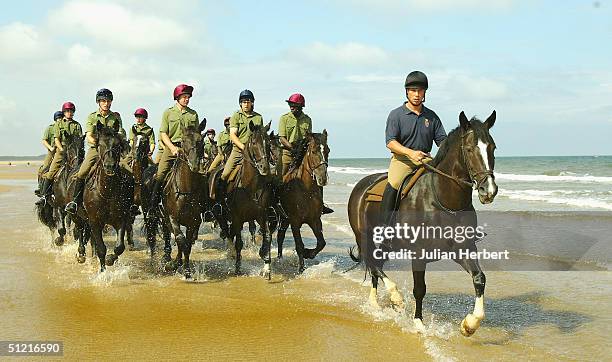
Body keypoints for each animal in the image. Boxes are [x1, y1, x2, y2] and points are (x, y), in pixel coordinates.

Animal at [79, 124, 132, 272]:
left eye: (117, 145)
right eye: (100, 145)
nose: (109, 166)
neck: (107, 192)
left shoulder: (121, 219)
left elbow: (119, 247)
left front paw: (110, 259)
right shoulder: (95, 221)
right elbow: (101, 249)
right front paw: (102, 272)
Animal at [276, 132, 330, 272]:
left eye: (327, 150)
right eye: (313, 151)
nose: (322, 178)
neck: (306, 189)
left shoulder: (315, 220)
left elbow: (321, 243)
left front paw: (309, 253)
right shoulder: (295, 222)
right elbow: (299, 245)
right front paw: (301, 268)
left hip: (286, 220)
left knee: (280, 235)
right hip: (283, 218)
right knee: (279, 236)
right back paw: (279, 259)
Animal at [350, 111, 498, 336]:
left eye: (492, 147)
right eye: (469, 149)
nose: (488, 191)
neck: (443, 200)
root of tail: (361, 186)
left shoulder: (462, 249)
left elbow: (479, 278)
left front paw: (470, 324)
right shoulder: (418, 253)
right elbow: (419, 289)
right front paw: (418, 323)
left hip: (383, 246)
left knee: (376, 267)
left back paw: (376, 303)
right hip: (364, 238)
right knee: (374, 265)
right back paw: (395, 298)